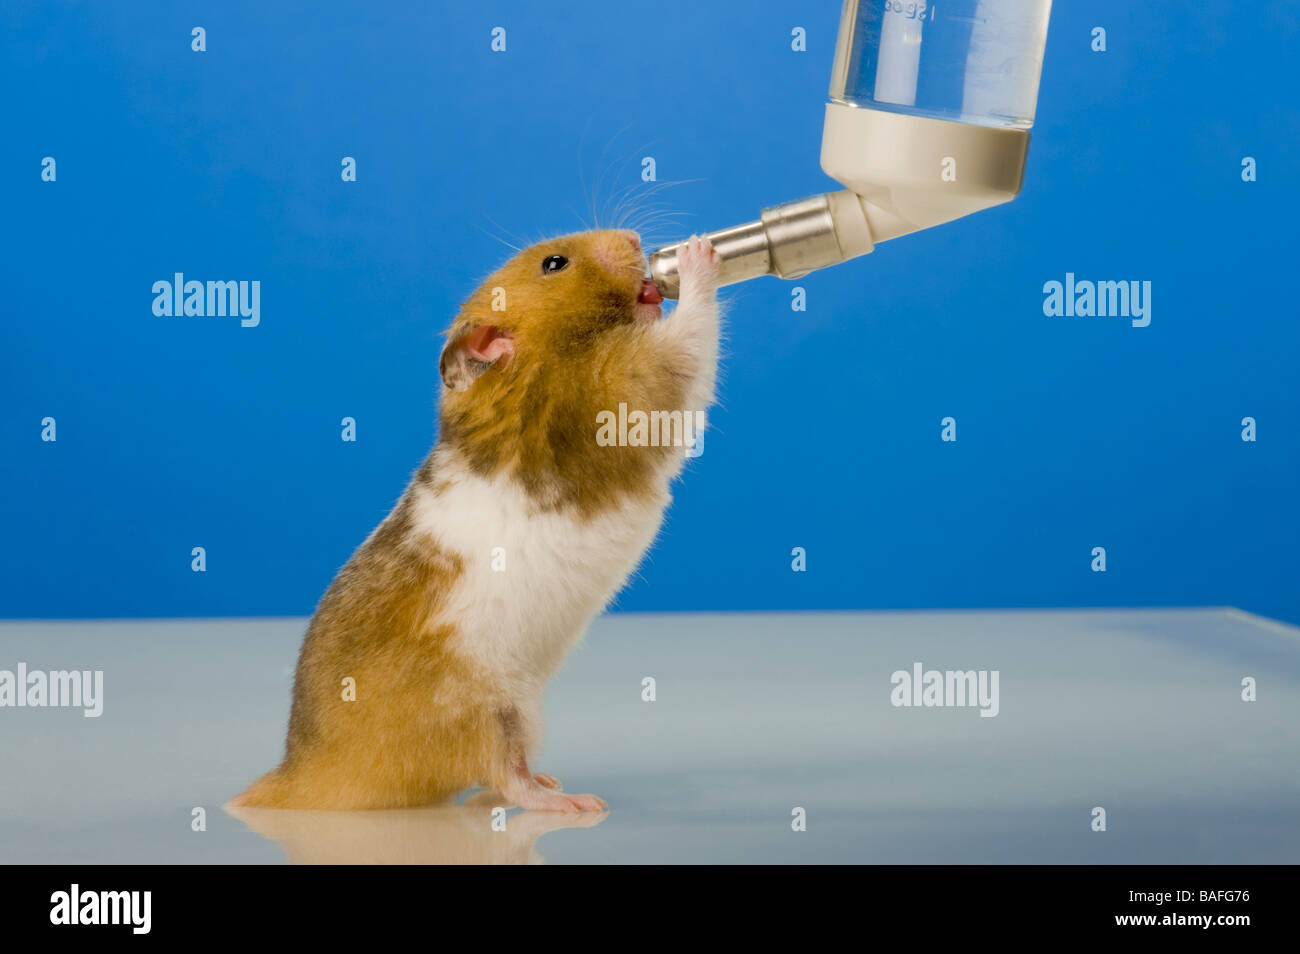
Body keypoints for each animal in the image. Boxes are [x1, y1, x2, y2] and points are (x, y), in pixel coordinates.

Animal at [232, 231, 721, 812]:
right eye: (554, 264)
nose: (636, 239)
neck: (543, 357)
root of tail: (300, 774)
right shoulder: (628, 384)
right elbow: (688, 343)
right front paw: (697, 254)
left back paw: (552, 784)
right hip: (489, 710)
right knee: (501, 773)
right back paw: (570, 802)